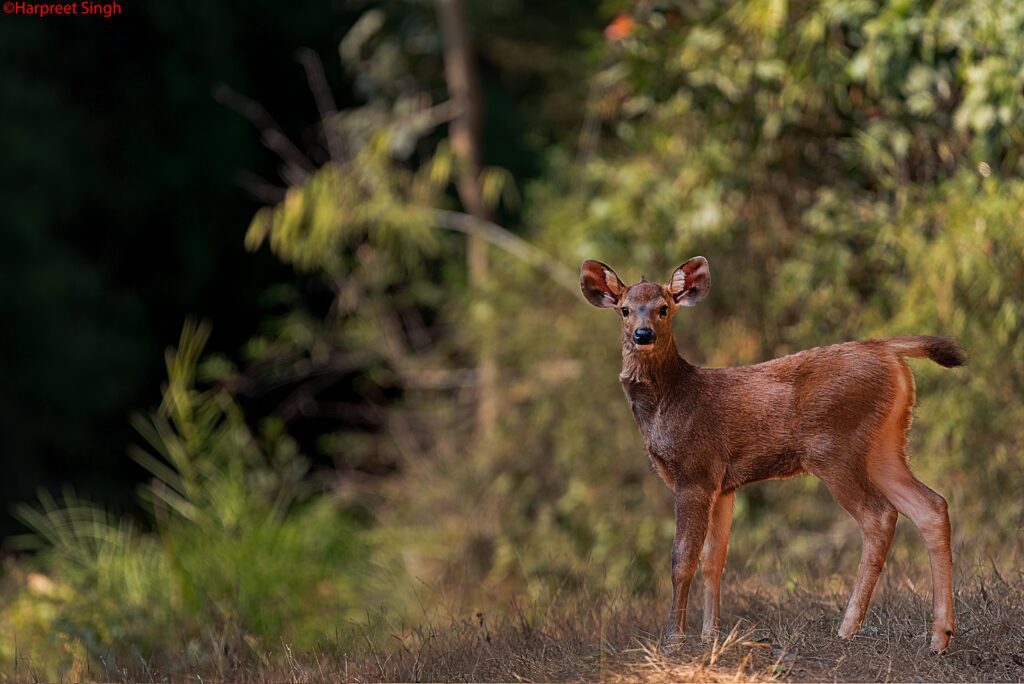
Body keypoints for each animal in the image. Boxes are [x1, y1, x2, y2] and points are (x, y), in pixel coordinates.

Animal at [581, 255, 962, 651]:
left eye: (664, 308)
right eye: (625, 309)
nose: (643, 334)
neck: (671, 401)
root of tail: (888, 350)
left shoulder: (695, 471)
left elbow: (682, 558)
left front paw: (674, 641)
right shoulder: (723, 484)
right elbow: (715, 559)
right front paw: (710, 636)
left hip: (834, 447)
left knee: (880, 516)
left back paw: (848, 628)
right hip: (885, 444)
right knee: (932, 505)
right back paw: (940, 636)